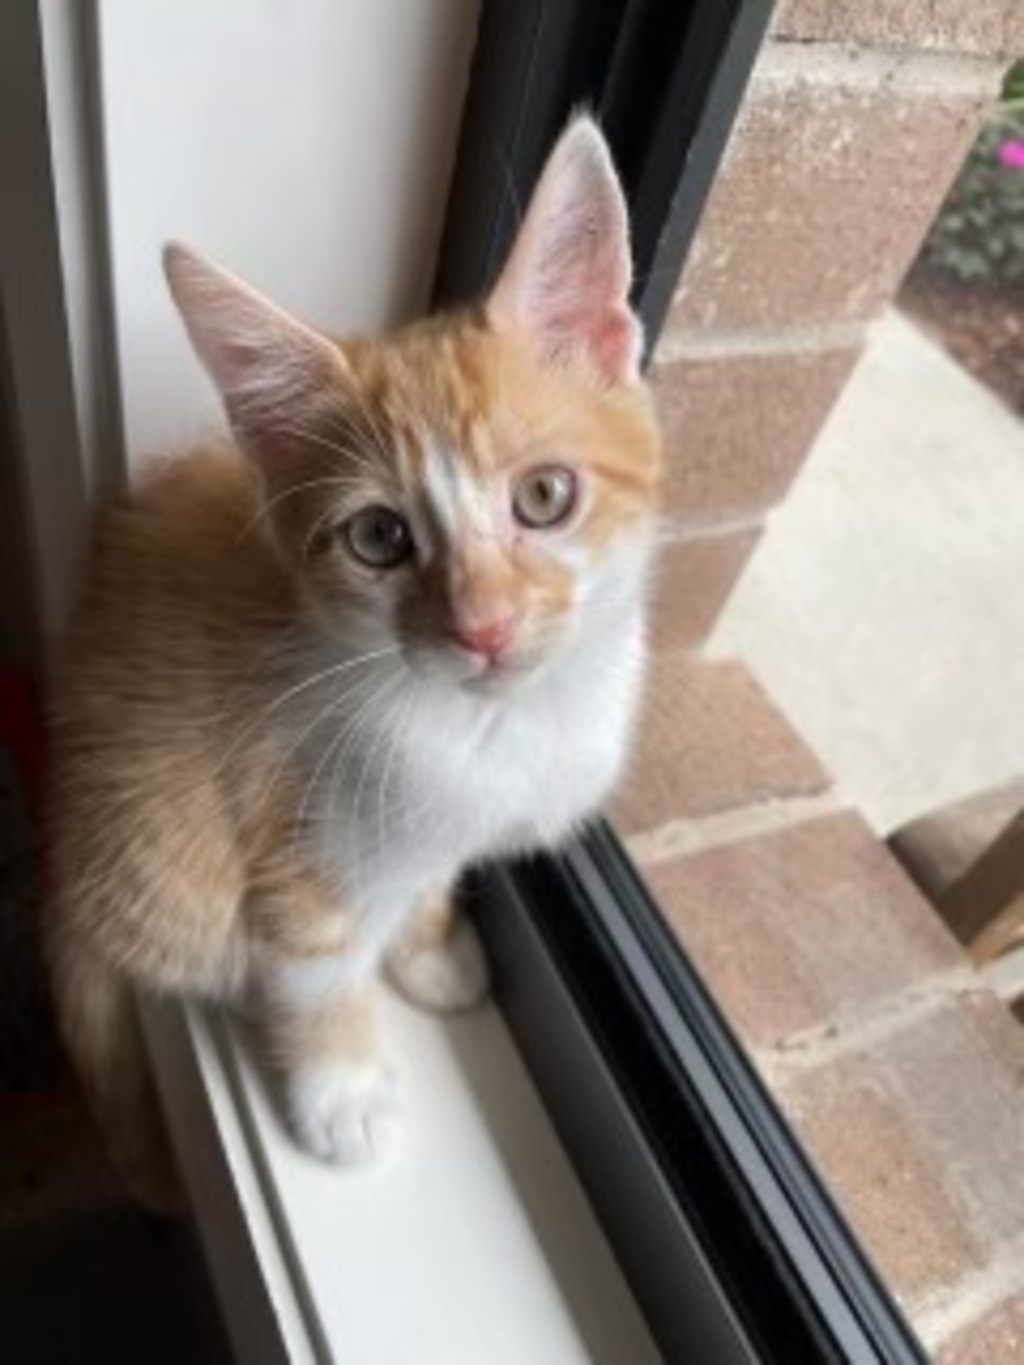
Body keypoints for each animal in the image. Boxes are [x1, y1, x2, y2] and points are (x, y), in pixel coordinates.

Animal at [44, 114, 663, 1205]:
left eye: (545, 495)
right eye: (379, 538)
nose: (482, 626)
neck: (496, 728)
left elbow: (431, 875)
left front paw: (431, 950)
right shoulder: (295, 825)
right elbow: (313, 962)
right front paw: (342, 1092)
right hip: (158, 858)